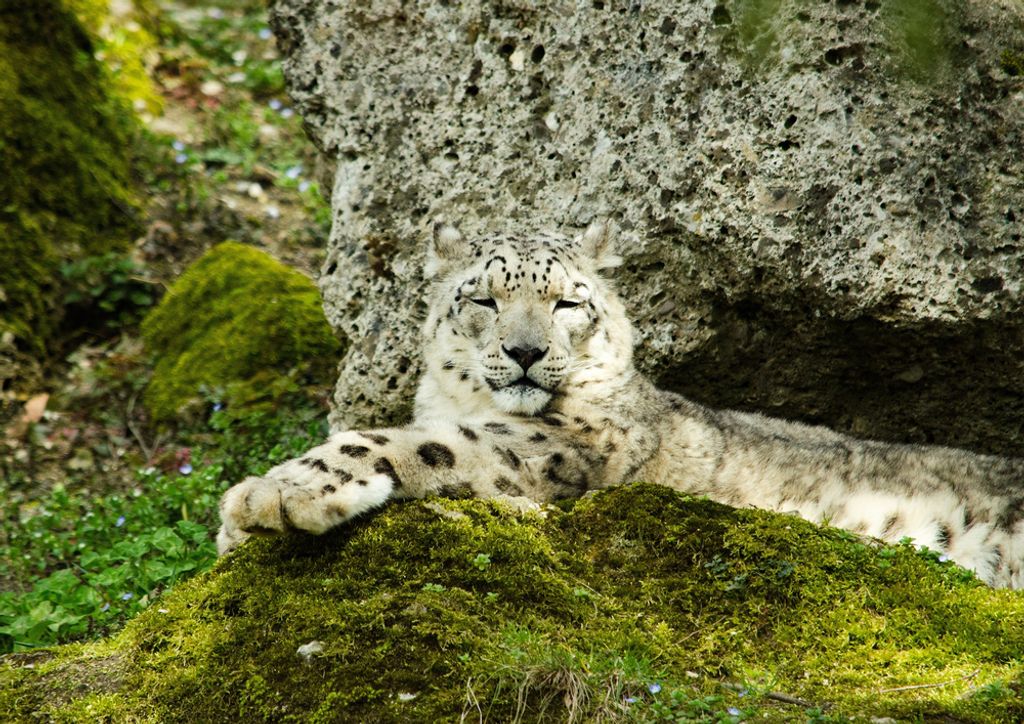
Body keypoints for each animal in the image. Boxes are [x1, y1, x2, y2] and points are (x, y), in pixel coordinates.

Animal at [218, 221, 1024, 588]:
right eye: (483, 299)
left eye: (567, 302)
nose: (525, 351)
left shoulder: (543, 448)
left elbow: (405, 442)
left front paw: (270, 496)